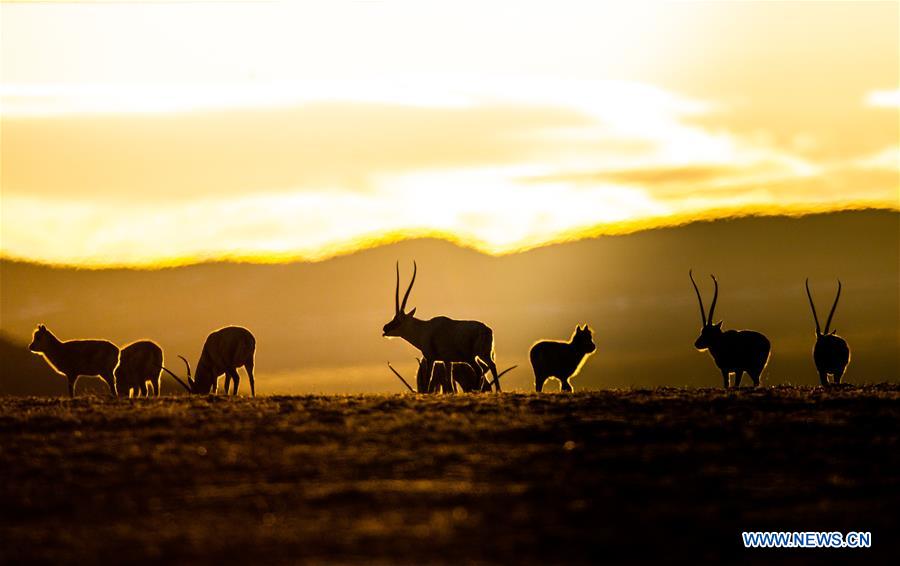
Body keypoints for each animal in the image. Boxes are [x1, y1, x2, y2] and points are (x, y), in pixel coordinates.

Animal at [384, 262, 502, 392]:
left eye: (399, 320)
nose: (385, 328)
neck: (424, 329)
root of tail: (487, 330)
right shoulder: (447, 361)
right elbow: (448, 379)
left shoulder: (431, 358)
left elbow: (429, 379)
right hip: (483, 354)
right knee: (491, 365)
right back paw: (497, 390)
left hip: (471, 357)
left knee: (480, 369)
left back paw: (477, 390)